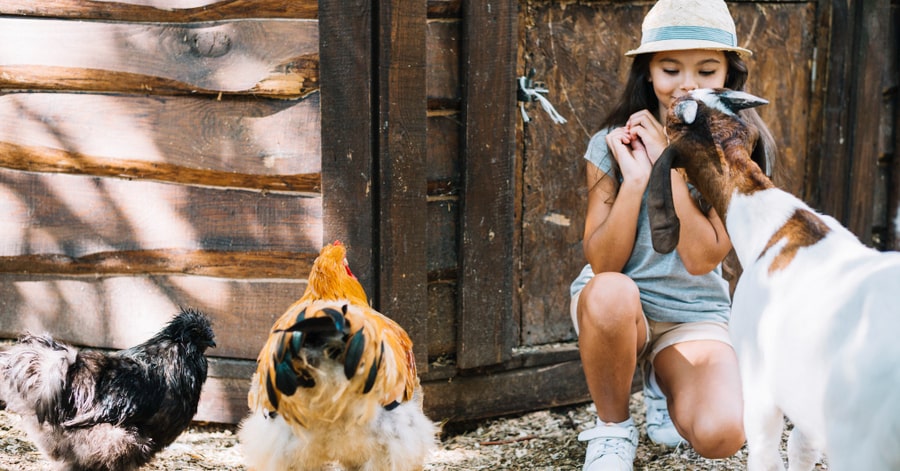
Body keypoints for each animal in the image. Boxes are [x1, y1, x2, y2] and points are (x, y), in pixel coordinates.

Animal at [648, 88, 900, 471]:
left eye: (672, 121)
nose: (678, 92)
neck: (776, 226)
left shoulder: (760, 387)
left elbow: (766, 456)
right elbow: (801, 447)